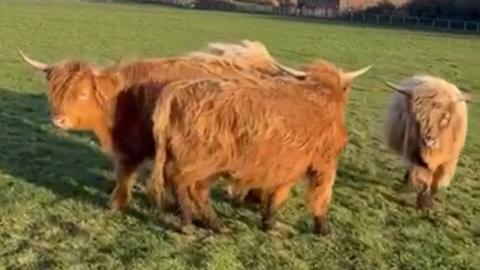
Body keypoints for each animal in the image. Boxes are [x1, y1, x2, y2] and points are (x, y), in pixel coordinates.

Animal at [19, 40, 304, 211]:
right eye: (55, 92)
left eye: (82, 93)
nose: (58, 120)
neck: (122, 99)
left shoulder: (132, 147)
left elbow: (125, 174)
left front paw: (117, 203)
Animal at [149, 59, 372, 234]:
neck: (321, 95)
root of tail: (179, 88)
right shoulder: (325, 163)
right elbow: (322, 194)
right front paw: (322, 227)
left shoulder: (287, 163)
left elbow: (277, 192)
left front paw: (269, 221)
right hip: (202, 160)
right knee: (186, 185)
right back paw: (194, 223)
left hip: (196, 160)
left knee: (188, 186)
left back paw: (207, 222)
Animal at [386, 75, 468, 210]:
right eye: (418, 119)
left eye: (445, 118)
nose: (430, 141)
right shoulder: (416, 155)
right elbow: (424, 178)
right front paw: (424, 201)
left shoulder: (449, 160)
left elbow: (437, 181)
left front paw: (427, 201)